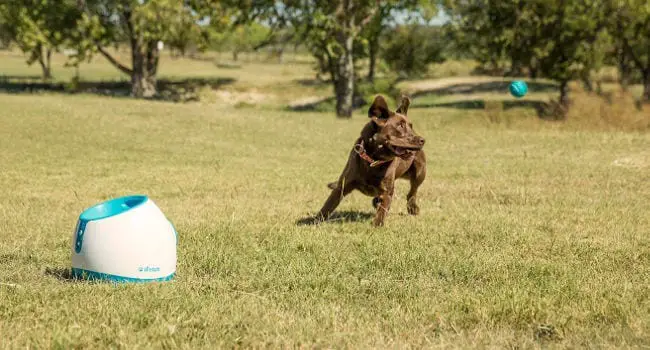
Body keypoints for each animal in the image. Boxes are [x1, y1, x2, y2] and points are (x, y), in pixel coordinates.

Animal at [316, 95, 426, 227]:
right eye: (400, 126)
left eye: (411, 126)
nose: (422, 140)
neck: (373, 161)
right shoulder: (342, 185)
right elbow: (328, 205)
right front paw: (313, 221)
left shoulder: (387, 191)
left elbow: (382, 210)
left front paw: (376, 225)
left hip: (420, 172)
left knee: (412, 192)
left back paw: (412, 207)